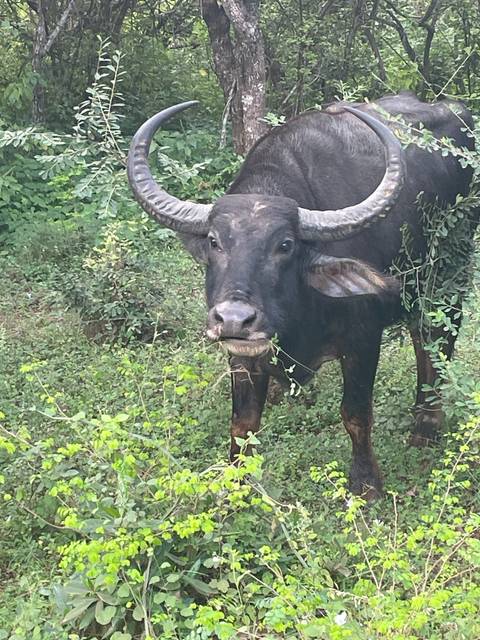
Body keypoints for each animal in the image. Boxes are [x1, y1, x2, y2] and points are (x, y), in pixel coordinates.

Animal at [127, 93, 475, 498]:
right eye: (214, 241)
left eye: (285, 245)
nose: (234, 320)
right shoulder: (243, 354)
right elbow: (243, 423)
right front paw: (237, 483)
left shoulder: (363, 338)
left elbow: (355, 413)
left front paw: (366, 483)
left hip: (448, 279)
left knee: (435, 340)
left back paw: (426, 428)